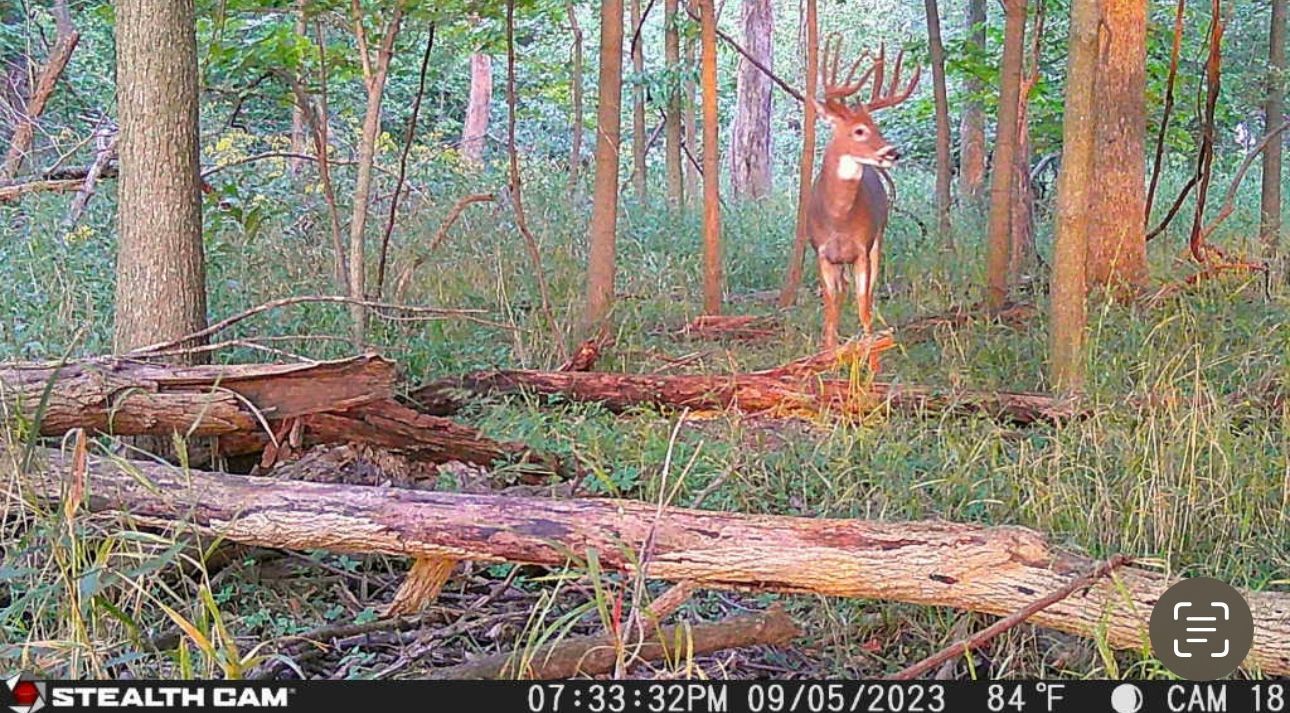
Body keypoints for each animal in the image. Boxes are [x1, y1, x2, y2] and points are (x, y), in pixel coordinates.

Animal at [807, 35, 920, 352]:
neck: (837, 219)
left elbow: (864, 306)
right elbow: (830, 311)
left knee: (868, 291)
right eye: (859, 130)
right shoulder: (822, 253)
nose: (893, 153)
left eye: (876, 126)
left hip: (878, 240)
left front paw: (868, 348)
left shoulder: (862, 248)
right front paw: (828, 352)